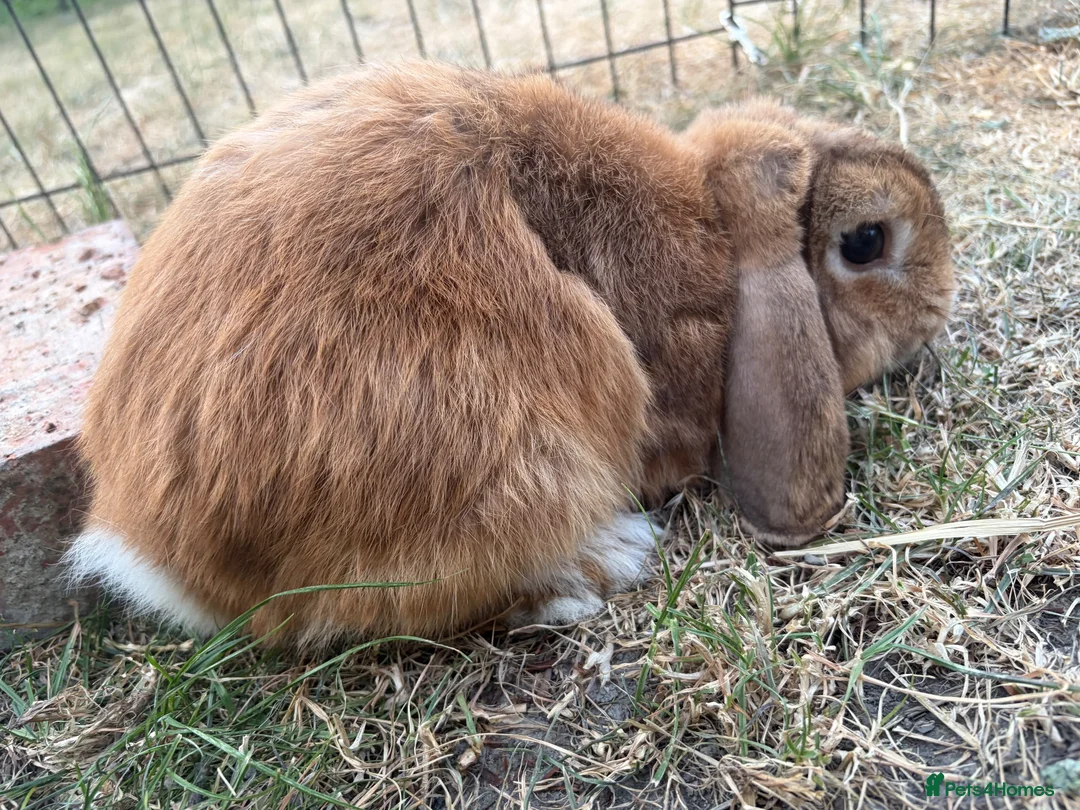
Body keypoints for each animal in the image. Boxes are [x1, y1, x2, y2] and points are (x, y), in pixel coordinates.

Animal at [63, 62, 955, 644]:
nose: (937, 313)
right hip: (499, 454)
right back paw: (604, 564)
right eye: (866, 242)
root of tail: (155, 553)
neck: (712, 229)